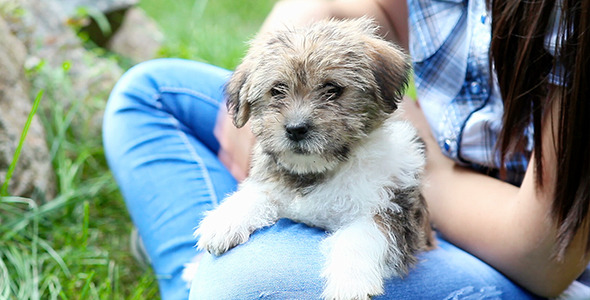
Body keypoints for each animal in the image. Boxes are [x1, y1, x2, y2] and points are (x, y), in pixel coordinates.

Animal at [197, 17, 432, 298]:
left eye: (332, 89)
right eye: (277, 90)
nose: (296, 129)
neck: (319, 171)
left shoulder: (393, 210)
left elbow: (360, 236)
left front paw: (350, 283)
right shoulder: (277, 184)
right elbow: (259, 192)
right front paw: (225, 221)